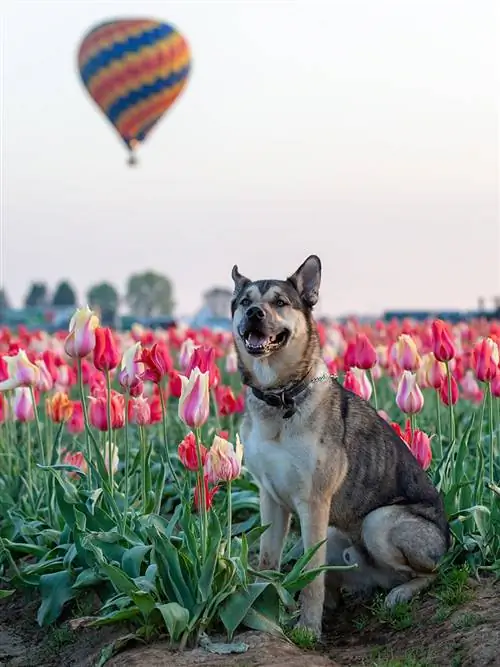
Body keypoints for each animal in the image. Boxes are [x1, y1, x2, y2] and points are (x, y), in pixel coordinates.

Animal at [230, 254, 450, 636]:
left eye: (279, 302)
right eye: (245, 302)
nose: (254, 313)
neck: (279, 397)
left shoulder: (313, 502)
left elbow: (310, 576)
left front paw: (307, 630)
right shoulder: (270, 498)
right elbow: (267, 561)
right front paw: (260, 611)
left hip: (379, 522)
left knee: (432, 572)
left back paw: (401, 593)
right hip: (336, 532)